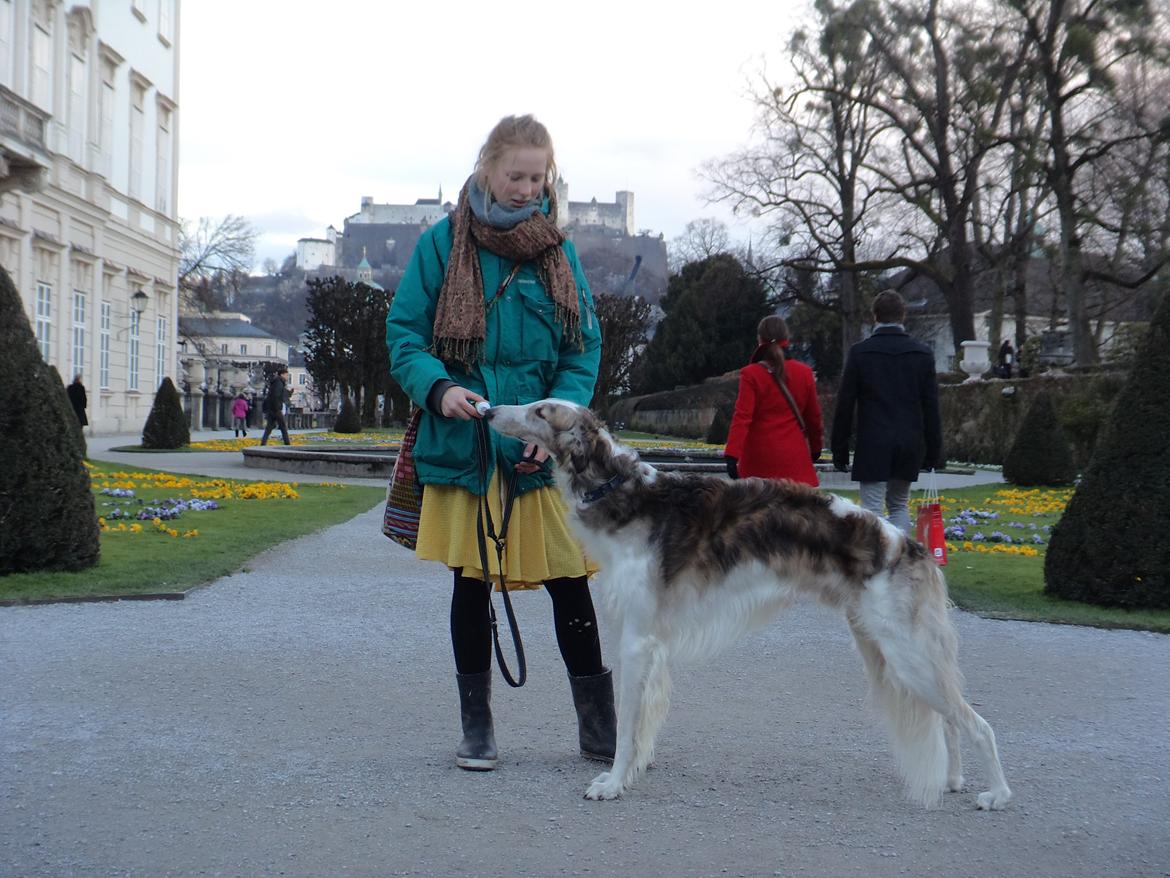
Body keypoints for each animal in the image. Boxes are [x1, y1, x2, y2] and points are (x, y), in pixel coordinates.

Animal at [484, 398, 1015, 810]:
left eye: (540, 411)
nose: (487, 410)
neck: (622, 492)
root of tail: (908, 545)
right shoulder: (653, 644)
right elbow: (644, 722)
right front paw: (633, 771)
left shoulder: (637, 639)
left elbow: (628, 726)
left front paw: (613, 783)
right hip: (890, 648)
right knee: (949, 721)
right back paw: (953, 779)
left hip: (904, 651)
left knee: (980, 724)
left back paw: (997, 794)